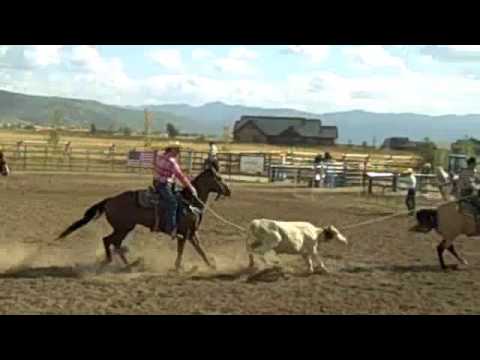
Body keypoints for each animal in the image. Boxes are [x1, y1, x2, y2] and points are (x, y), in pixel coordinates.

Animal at [57, 169, 232, 270]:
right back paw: (116, 262)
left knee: (114, 243)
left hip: (125, 228)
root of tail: (110, 200)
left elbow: (192, 249)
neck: (190, 201)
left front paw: (189, 265)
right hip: (123, 227)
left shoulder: (188, 233)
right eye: (219, 178)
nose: (229, 191)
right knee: (109, 241)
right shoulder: (187, 233)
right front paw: (208, 265)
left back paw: (126, 264)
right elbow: (195, 250)